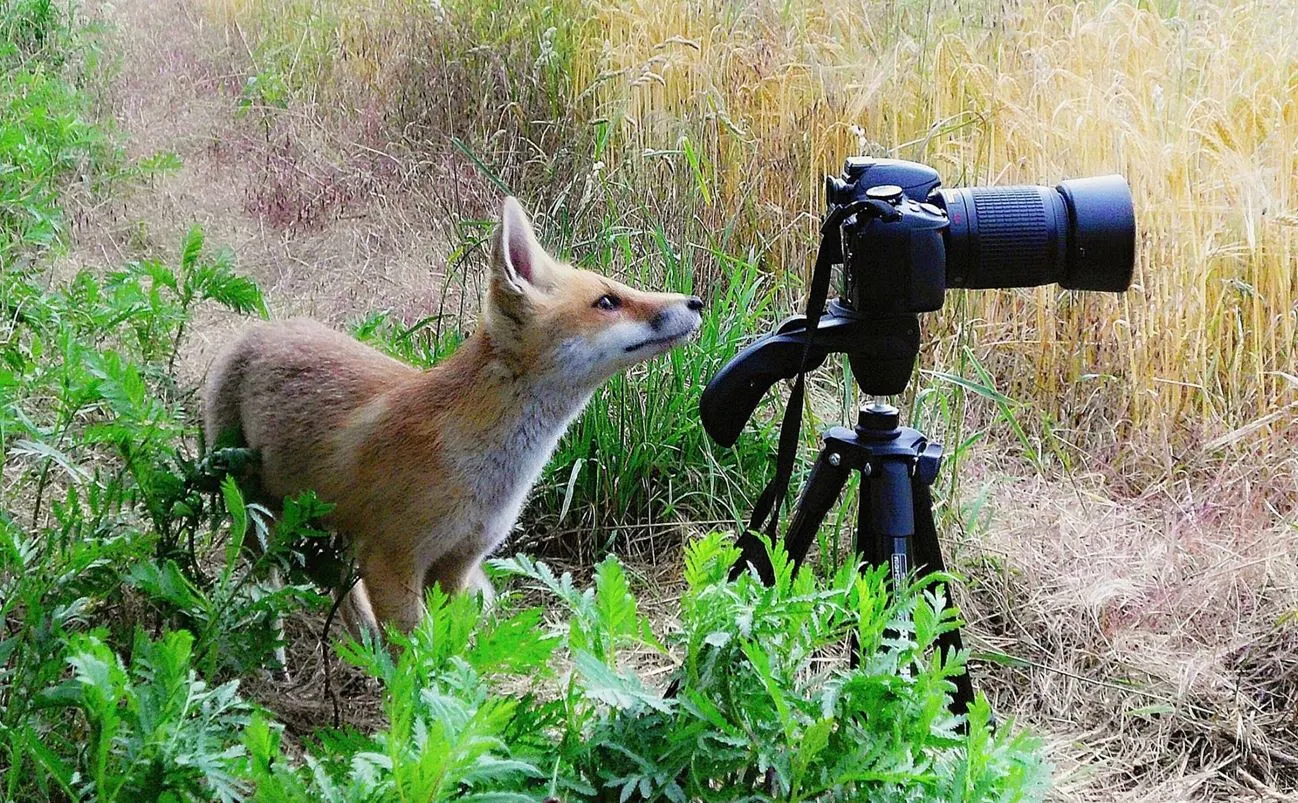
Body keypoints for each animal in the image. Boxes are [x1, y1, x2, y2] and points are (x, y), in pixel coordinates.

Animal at [201, 198, 706, 638]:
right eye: (607, 302)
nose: (697, 302)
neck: (488, 475)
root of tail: (258, 329)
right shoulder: (391, 561)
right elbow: (416, 661)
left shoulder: (458, 563)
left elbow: (451, 646)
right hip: (256, 516)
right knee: (266, 581)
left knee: (341, 591)